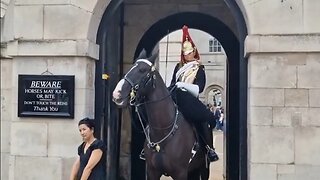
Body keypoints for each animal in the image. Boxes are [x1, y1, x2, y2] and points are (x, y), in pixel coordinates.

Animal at [113, 49, 210, 180]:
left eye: (142, 70)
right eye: (131, 67)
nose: (116, 94)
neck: (162, 130)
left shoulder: (180, 173)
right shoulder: (152, 172)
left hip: (204, 168)